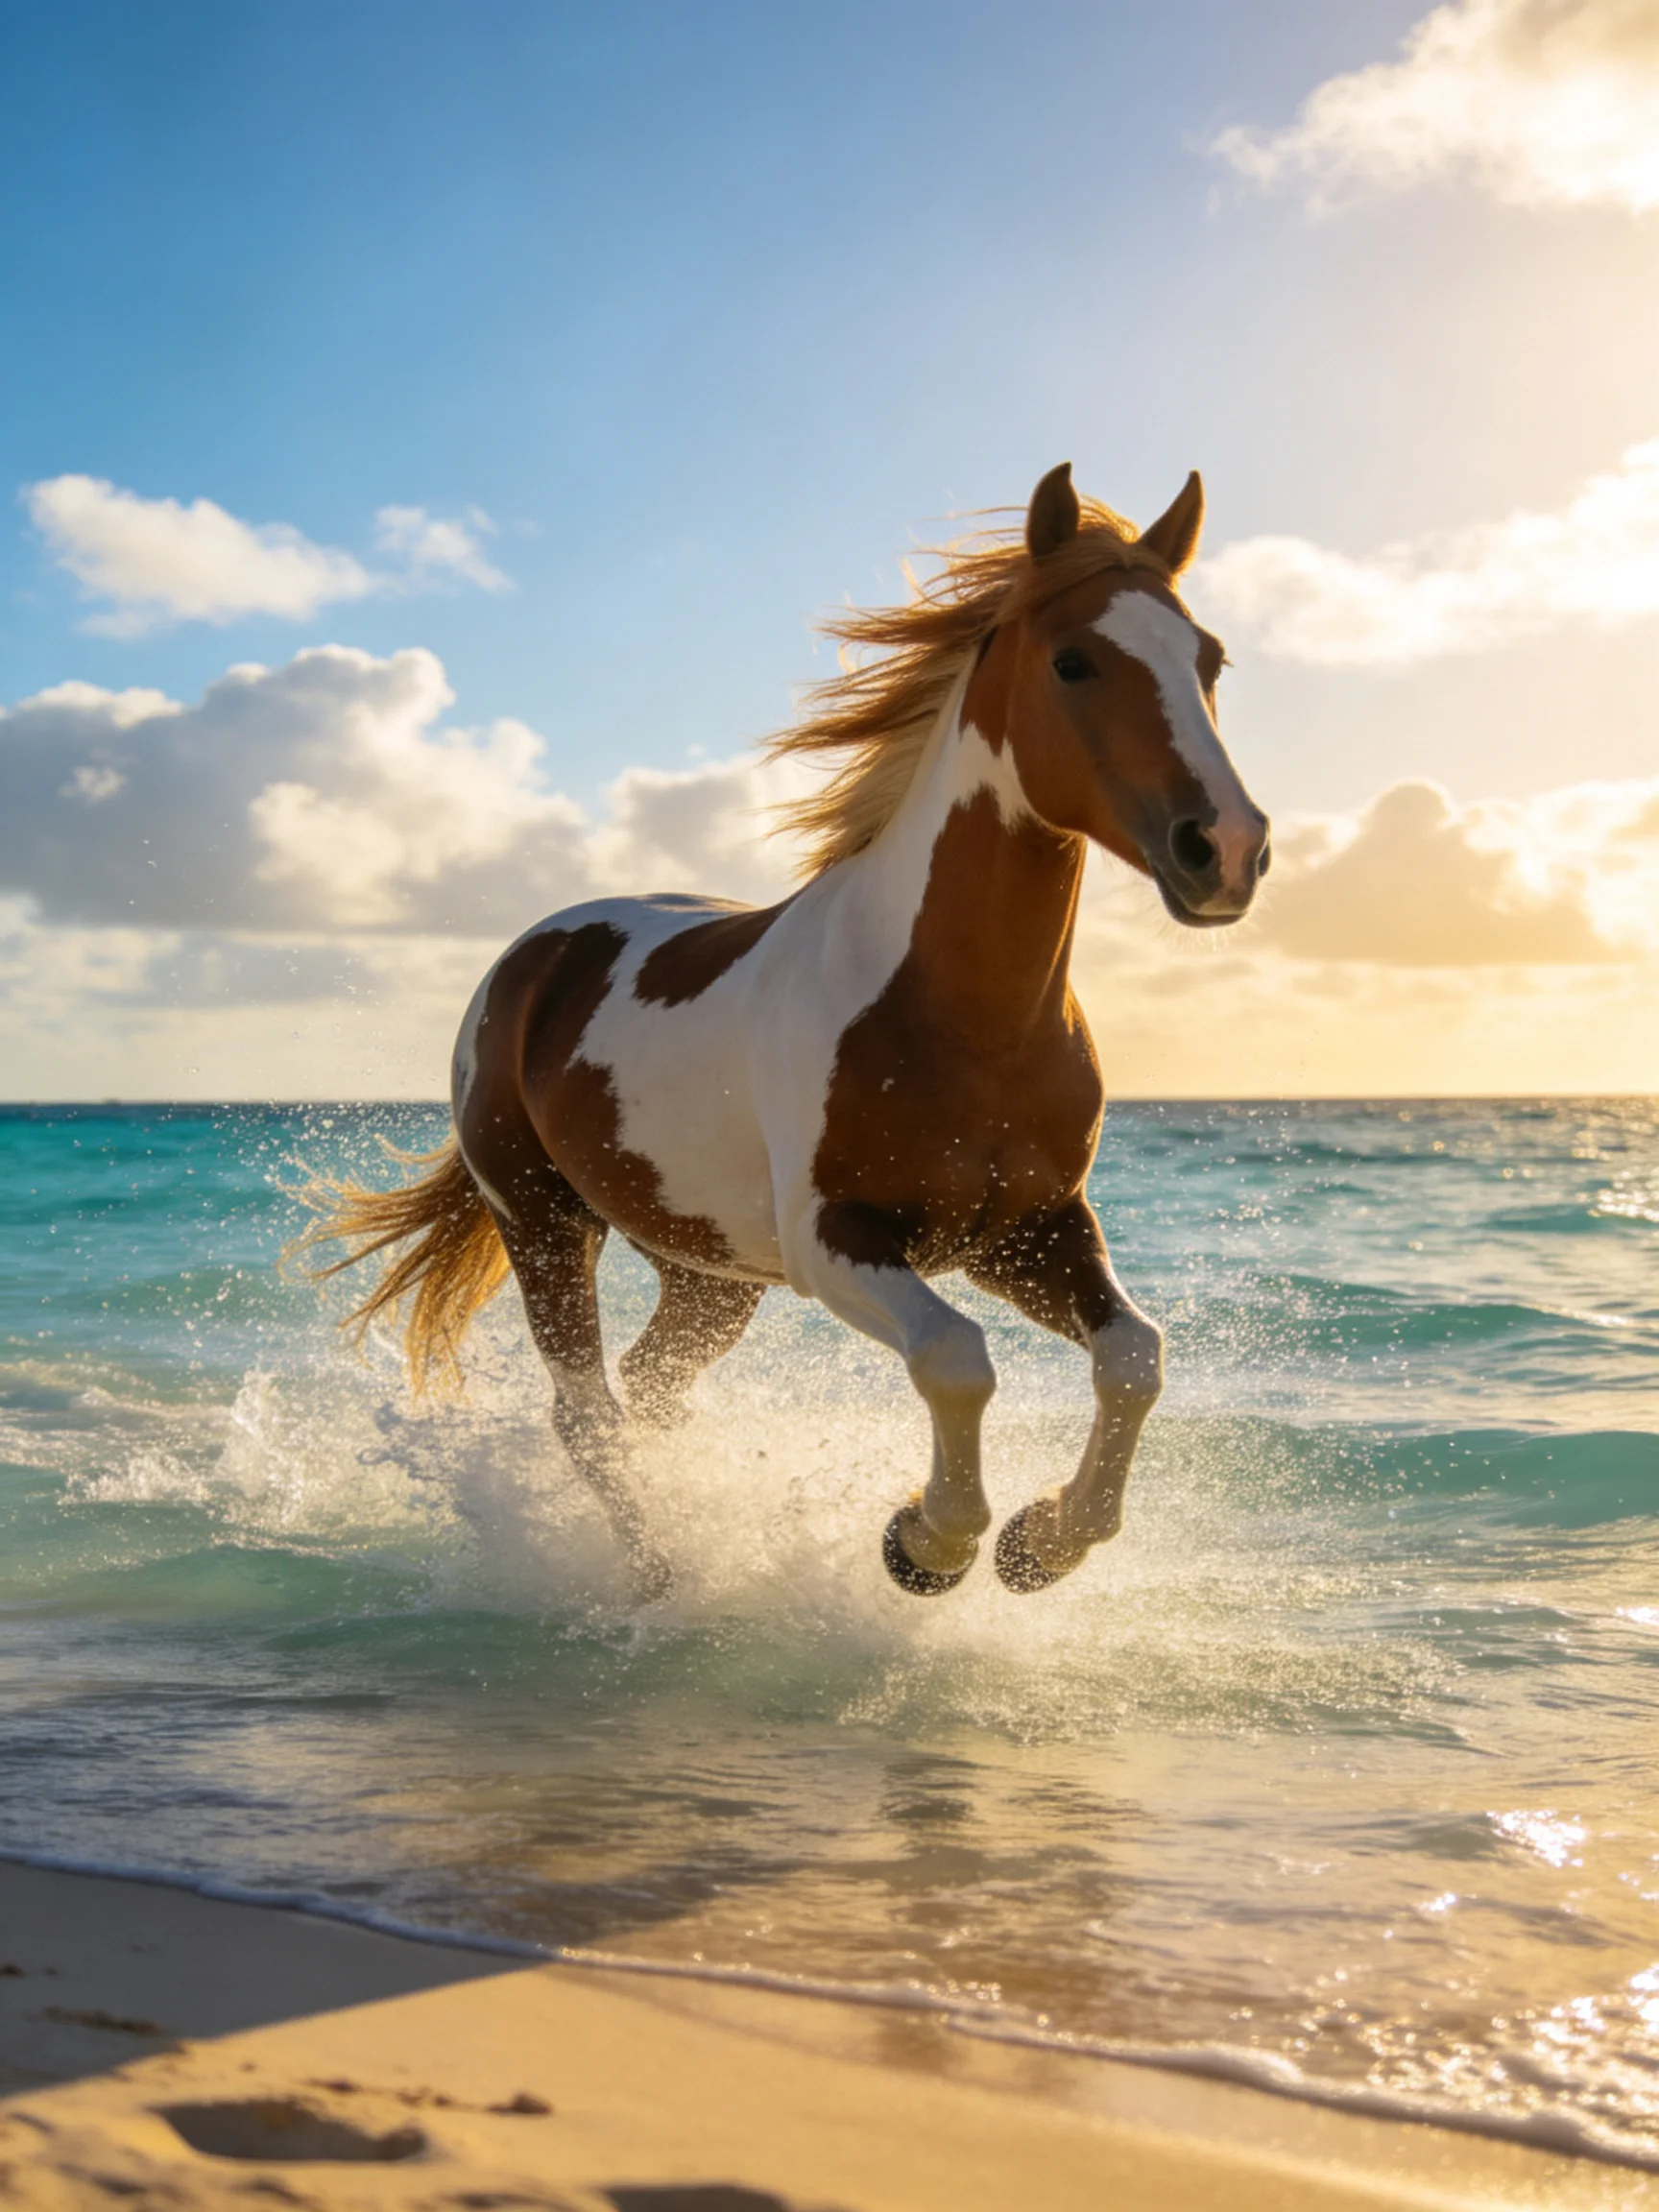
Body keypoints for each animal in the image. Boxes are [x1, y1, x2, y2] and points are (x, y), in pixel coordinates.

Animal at [305, 463, 1269, 1603]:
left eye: (1209, 661)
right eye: (1073, 660)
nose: (1227, 849)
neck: (961, 1020)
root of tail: (528, 959)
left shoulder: (1031, 1231)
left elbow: (1134, 1359)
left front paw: (1041, 1544)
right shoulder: (837, 1241)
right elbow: (957, 1359)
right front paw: (926, 1544)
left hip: (710, 1274)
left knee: (651, 1387)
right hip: (542, 1224)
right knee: (589, 1416)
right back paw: (658, 1577)